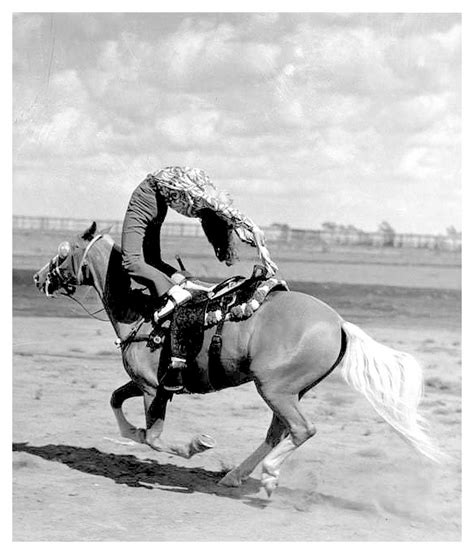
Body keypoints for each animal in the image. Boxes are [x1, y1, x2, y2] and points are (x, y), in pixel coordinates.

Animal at [34, 222, 444, 494]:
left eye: (62, 252)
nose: (39, 279)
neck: (146, 310)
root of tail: (340, 324)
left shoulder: (154, 390)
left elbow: (154, 438)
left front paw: (195, 445)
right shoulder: (145, 385)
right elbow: (117, 403)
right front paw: (133, 433)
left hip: (275, 389)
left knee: (301, 430)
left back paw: (268, 475)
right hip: (288, 392)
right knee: (279, 431)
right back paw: (236, 476)